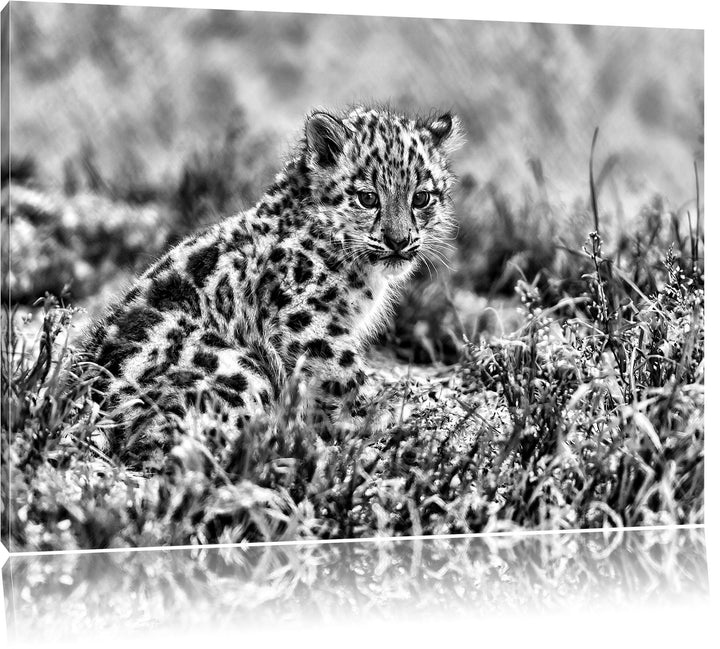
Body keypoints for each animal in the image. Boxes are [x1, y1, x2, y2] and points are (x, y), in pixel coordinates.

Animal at [81, 105, 462, 470]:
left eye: (422, 198)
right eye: (367, 198)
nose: (399, 241)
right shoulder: (307, 323)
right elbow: (346, 374)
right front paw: (386, 415)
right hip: (238, 369)